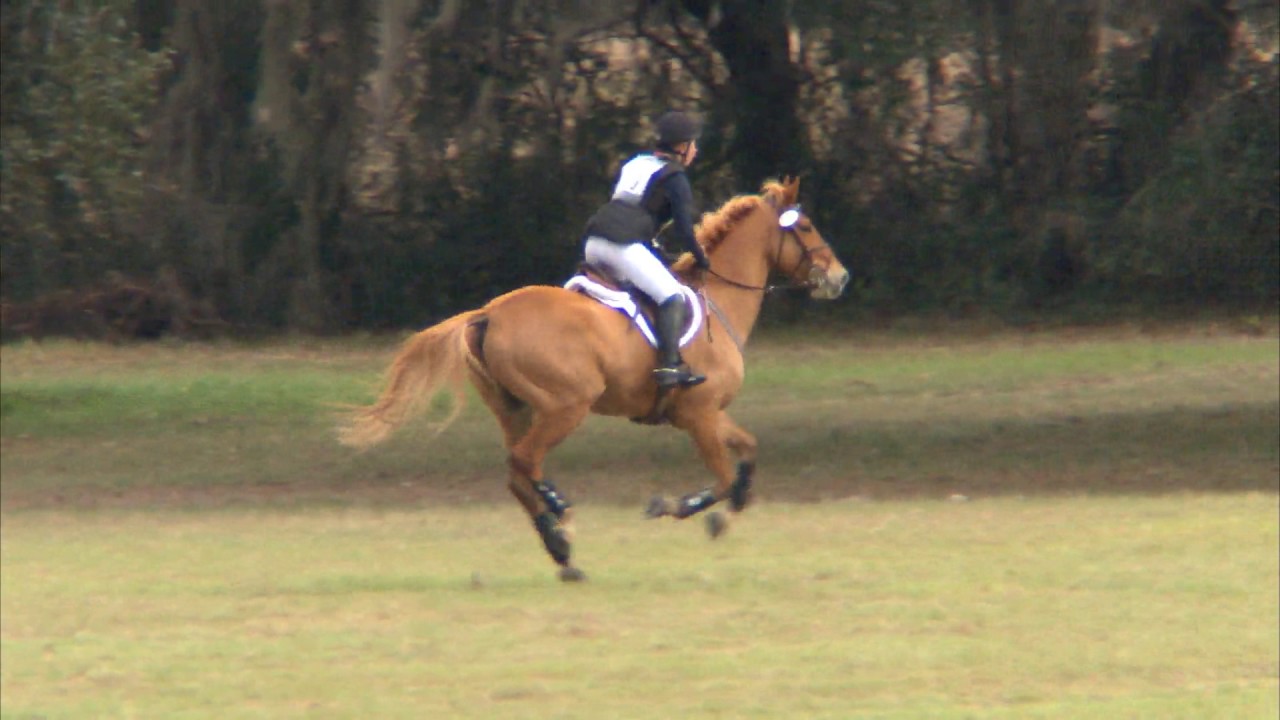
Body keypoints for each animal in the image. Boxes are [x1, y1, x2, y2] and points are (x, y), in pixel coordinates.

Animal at [339, 177, 849, 582]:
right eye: (805, 227)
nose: (840, 277)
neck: (719, 300)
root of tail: (487, 313)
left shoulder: (705, 414)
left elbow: (748, 451)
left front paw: (733, 507)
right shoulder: (699, 415)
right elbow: (722, 476)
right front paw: (684, 509)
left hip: (515, 409)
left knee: (516, 473)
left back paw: (561, 547)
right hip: (566, 405)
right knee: (525, 462)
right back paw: (560, 515)